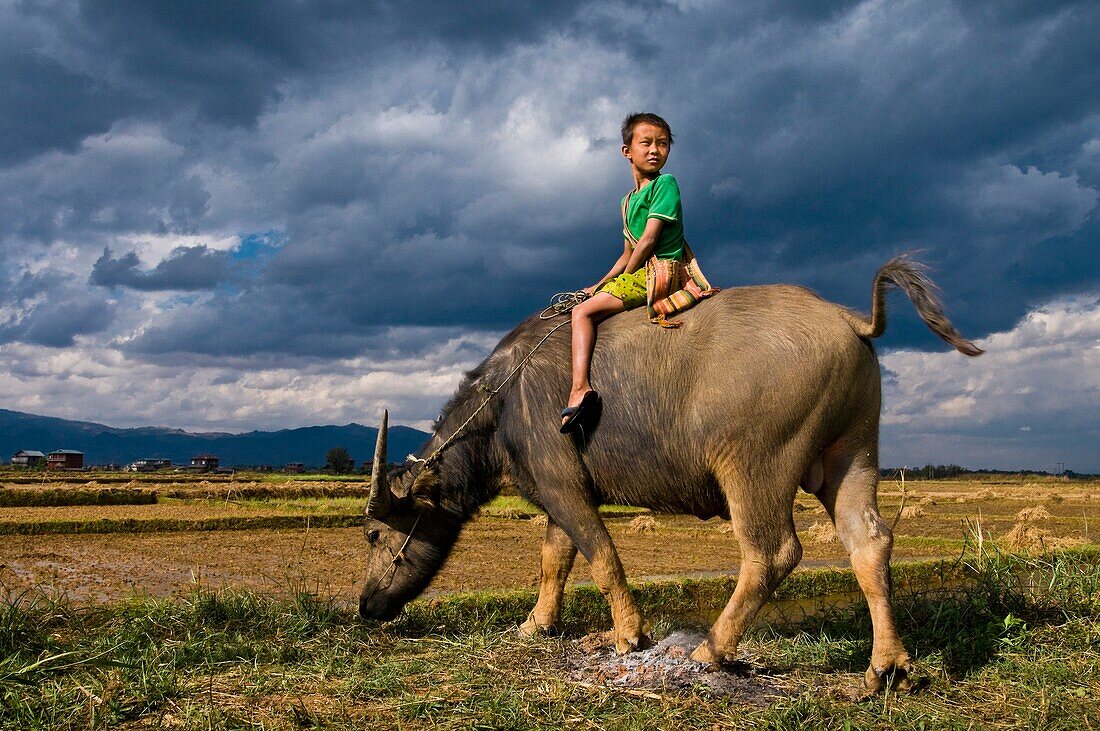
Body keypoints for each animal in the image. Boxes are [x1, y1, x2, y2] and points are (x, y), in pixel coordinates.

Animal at [358, 256, 981, 690]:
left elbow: (601, 556)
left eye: (373, 532)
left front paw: (629, 635)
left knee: (772, 552)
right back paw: (887, 668)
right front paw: (536, 624)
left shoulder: (562, 485)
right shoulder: (561, 492)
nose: (366, 607)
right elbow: (554, 559)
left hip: (753, 466)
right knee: (869, 541)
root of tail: (849, 320)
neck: (502, 402)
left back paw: (711, 649)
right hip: (853, 453)